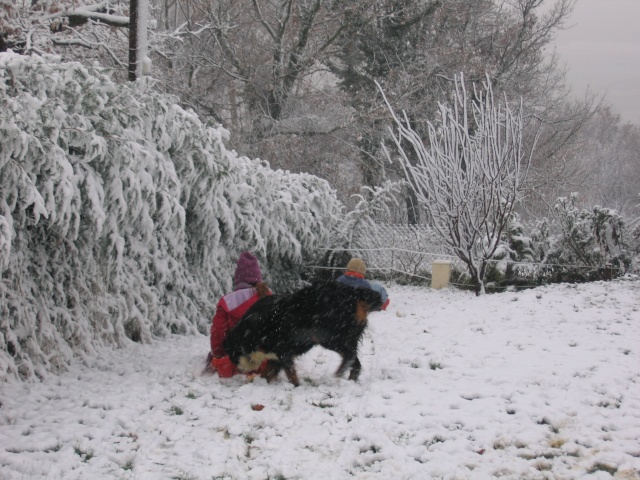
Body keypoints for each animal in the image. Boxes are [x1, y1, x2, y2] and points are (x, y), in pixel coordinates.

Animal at [222, 282, 380, 386]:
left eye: (232, 356)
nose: (240, 369)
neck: (249, 332)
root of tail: (353, 293)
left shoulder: (283, 352)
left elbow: (290, 374)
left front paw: (295, 386)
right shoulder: (275, 356)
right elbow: (267, 373)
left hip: (330, 338)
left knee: (349, 356)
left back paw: (339, 372)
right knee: (356, 363)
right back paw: (351, 381)